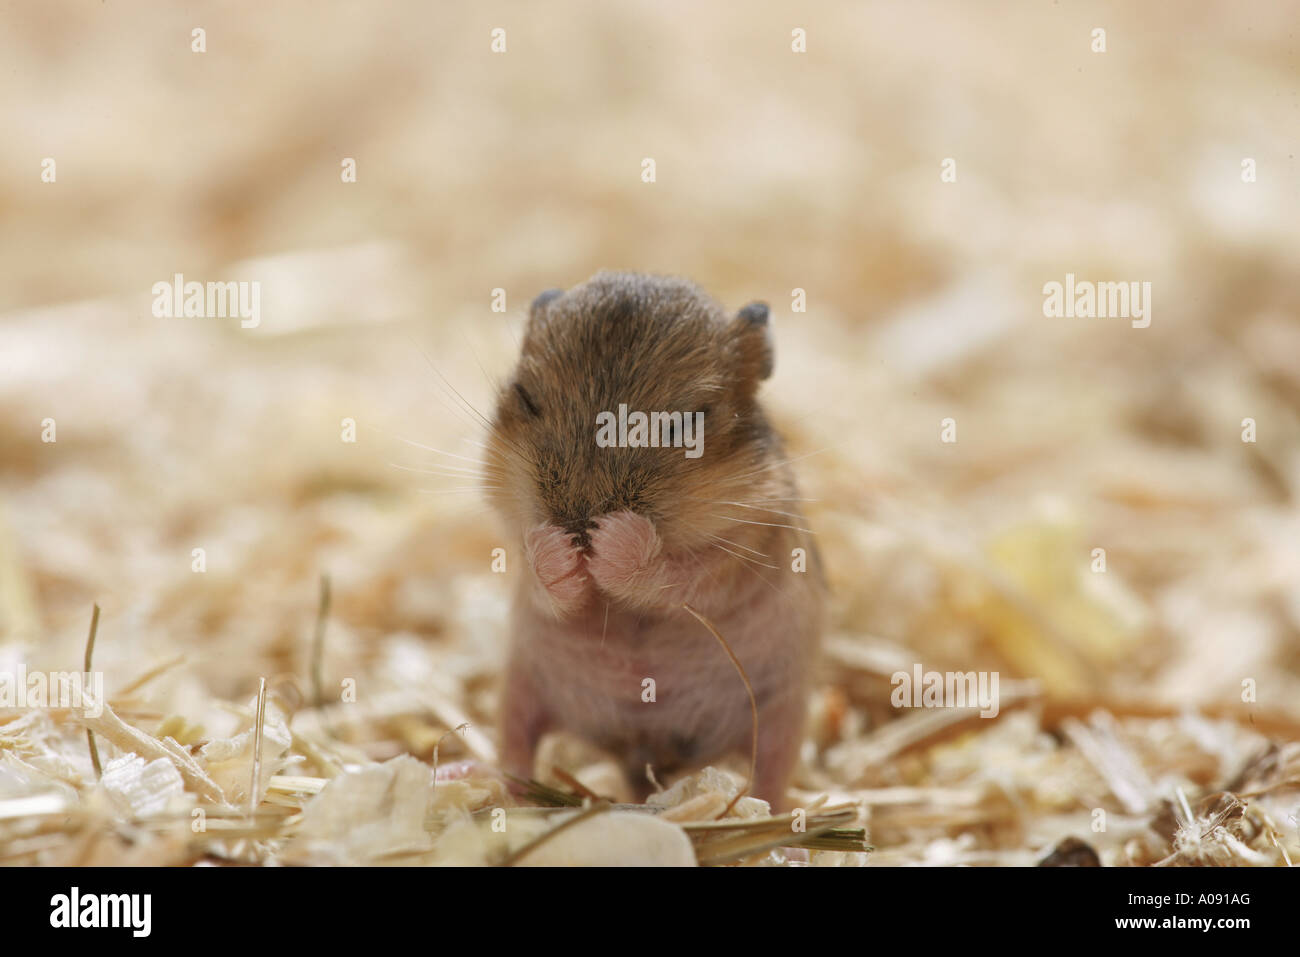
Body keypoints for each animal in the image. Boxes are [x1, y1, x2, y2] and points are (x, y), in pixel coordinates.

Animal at [485, 271, 825, 808]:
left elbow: (678, 574)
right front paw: (561, 554)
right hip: (519, 687)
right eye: (525, 397)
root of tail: (645, 759)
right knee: (516, 751)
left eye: (686, 423)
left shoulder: (746, 549)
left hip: (782, 714)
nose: (581, 527)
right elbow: (540, 580)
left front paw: (613, 541)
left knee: (770, 776)